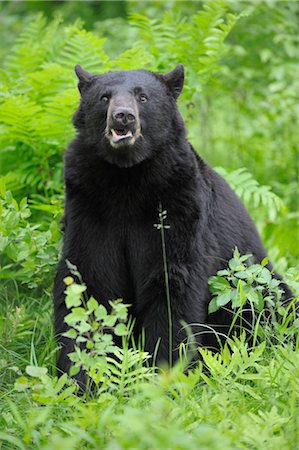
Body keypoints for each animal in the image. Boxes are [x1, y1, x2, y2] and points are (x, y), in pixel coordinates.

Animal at [54, 63, 286, 378]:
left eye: (143, 97)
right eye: (104, 97)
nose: (123, 115)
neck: (126, 179)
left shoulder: (178, 203)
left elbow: (171, 282)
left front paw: (164, 371)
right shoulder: (88, 205)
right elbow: (88, 281)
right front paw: (79, 375)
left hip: (257, 284)